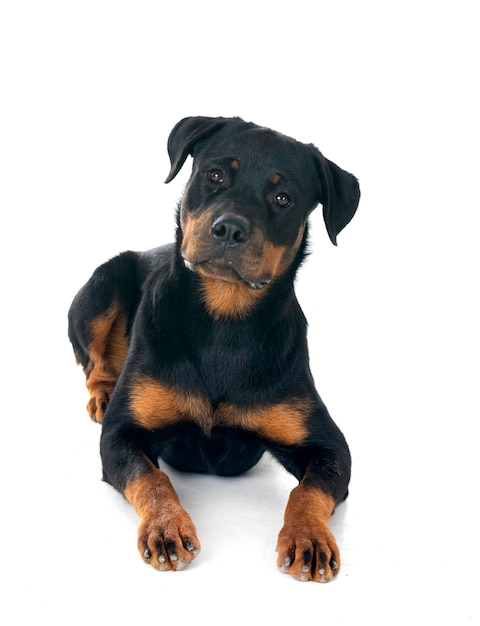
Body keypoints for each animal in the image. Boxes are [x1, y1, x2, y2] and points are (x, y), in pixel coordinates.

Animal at [67, 116, 360, 580]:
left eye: (283, 198)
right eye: (216, 174)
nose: (230, 228)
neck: (225, 321)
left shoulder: (329, 446)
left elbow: (309, 491)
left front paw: (309, 537)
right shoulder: (120, 435)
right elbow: (151, 479)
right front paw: (166, 527)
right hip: (100, 286)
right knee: (92, 361)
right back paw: (103, 393)